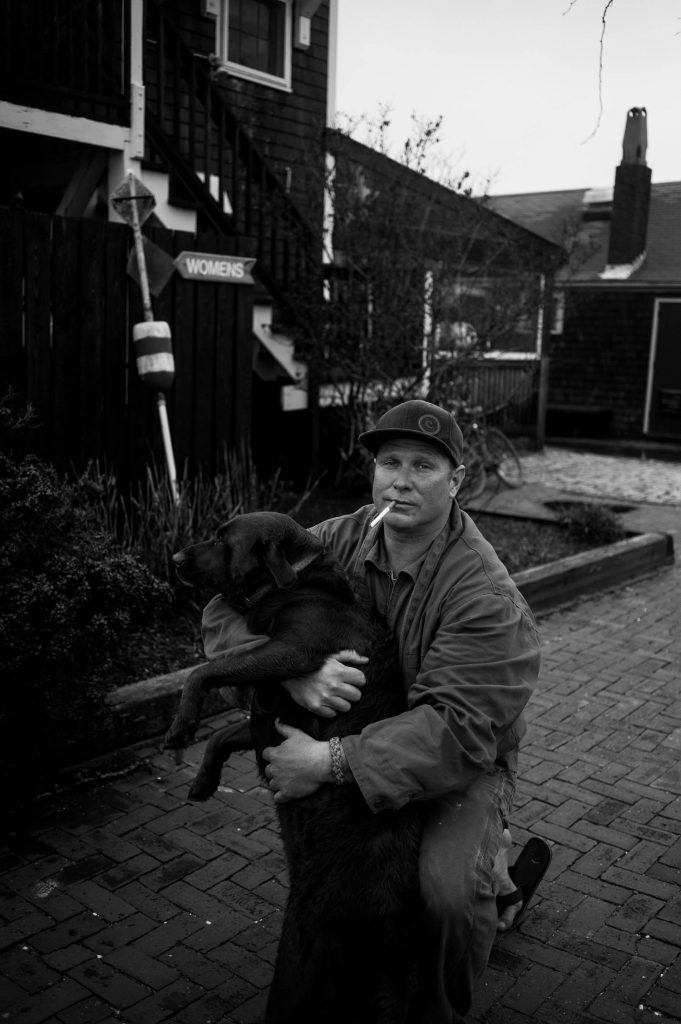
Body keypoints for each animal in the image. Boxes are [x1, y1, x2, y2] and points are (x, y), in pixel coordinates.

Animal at [164, 512, 419, 1024]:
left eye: (223, 540)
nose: (175, 556)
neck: (298, 580)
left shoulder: (292, 652)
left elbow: (201, 672)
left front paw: (182, 724)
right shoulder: (265, 719)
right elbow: (223, 734)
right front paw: (203, 781)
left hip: (300, 960)